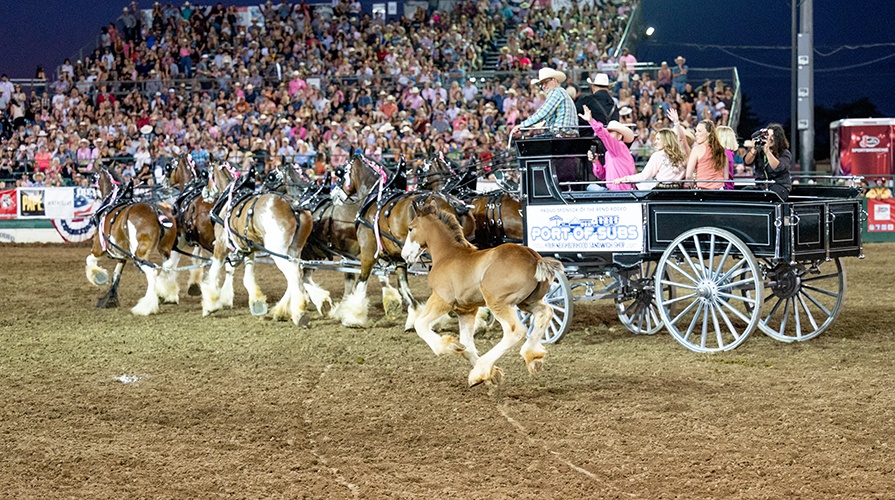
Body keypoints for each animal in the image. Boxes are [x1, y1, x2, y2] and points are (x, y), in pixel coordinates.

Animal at [86, 169, 180, 316]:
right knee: (167, 265)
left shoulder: (98, 247)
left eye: (92, 182)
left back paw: (146, 306)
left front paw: (99, 277)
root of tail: (156, 211)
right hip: (164, 248)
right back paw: (166, 294)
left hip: (139, 254)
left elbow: (89, 260)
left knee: (152, 271)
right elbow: (116, 276)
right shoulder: (122, 256)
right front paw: (109, 299)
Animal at [203, 163, 326, 324]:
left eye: (207, 175)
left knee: (293, 273)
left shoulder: (221, 245)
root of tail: (294, 206)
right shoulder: (247, 248)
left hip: (277, 251)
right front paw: (257, 304)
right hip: (293, 250)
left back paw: (299, 312)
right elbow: (248, 277)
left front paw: (209, 305)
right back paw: (284, 310)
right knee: (296, 272)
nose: (205, 193)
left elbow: (214, 271)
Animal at [402, 204, 564, 386]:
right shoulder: (466, 310)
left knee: (515, 331)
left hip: (498, 302)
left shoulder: (442, 299)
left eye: (410, 228)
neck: (447, 255)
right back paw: (533, 357)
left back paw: (483, 368)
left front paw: (450, 347)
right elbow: (466, 346)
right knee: (545, 312)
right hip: (527, 302)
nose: (404, 255)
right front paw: (490, 374)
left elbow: (420, 325)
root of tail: (535, 258)